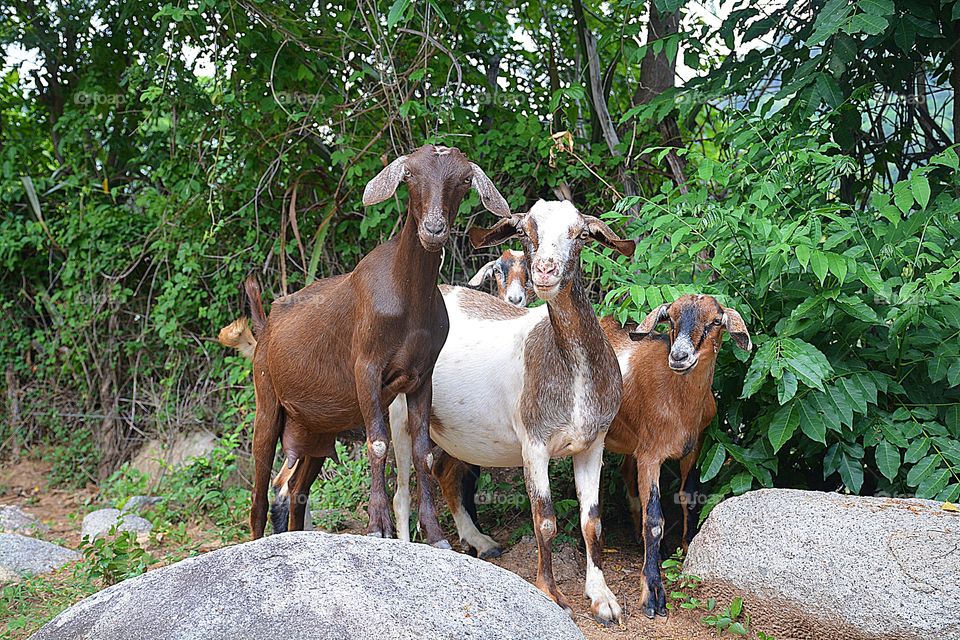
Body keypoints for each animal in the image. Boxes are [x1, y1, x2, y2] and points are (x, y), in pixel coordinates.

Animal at [244, 145, 506, 544]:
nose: (433, 229)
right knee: (259, 488)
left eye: (464, 179)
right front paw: (378, 526)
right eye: (409, 174)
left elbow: (422, 453)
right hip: (267, 400)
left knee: (298, 490)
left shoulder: (421, 378)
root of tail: (264, 327)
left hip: (314, 432)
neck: (407, 298)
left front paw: (435, 534)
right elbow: (378, 443)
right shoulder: (365, 368)